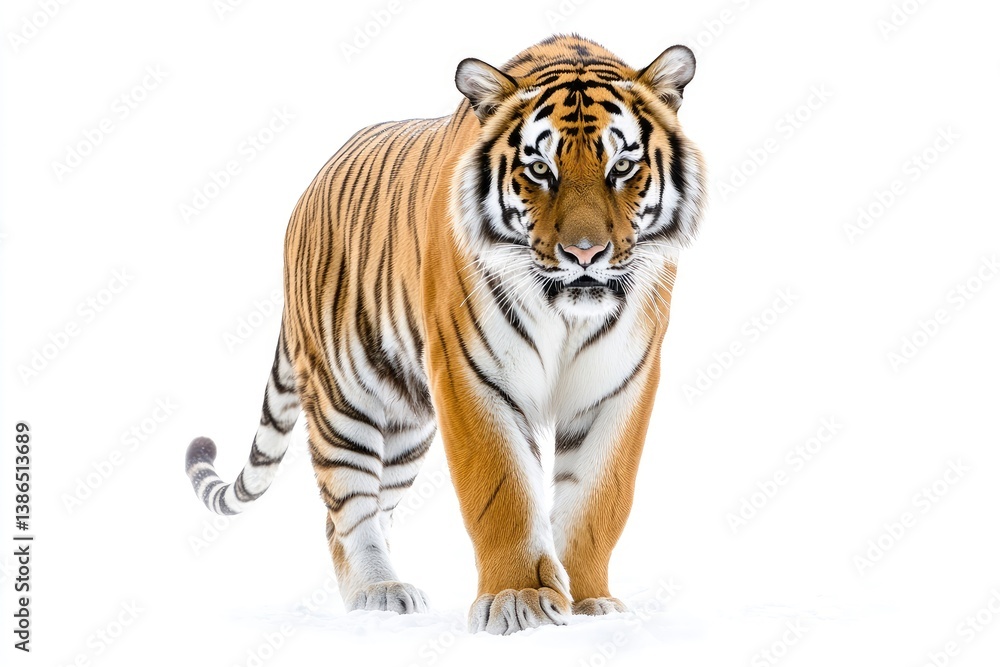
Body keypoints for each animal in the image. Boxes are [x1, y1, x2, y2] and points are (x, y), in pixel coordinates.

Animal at [184, 34, 706, 634]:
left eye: (622, 166)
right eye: (539, 168)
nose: (584, 253)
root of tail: (307, 191)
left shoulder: (620, 380)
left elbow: (598, 499)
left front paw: (591, 603)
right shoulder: (471, 371)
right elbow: (502, 489)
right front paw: (518, 599)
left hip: (406, 424)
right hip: (345, 398)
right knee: (347, 509)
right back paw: (378, 591)